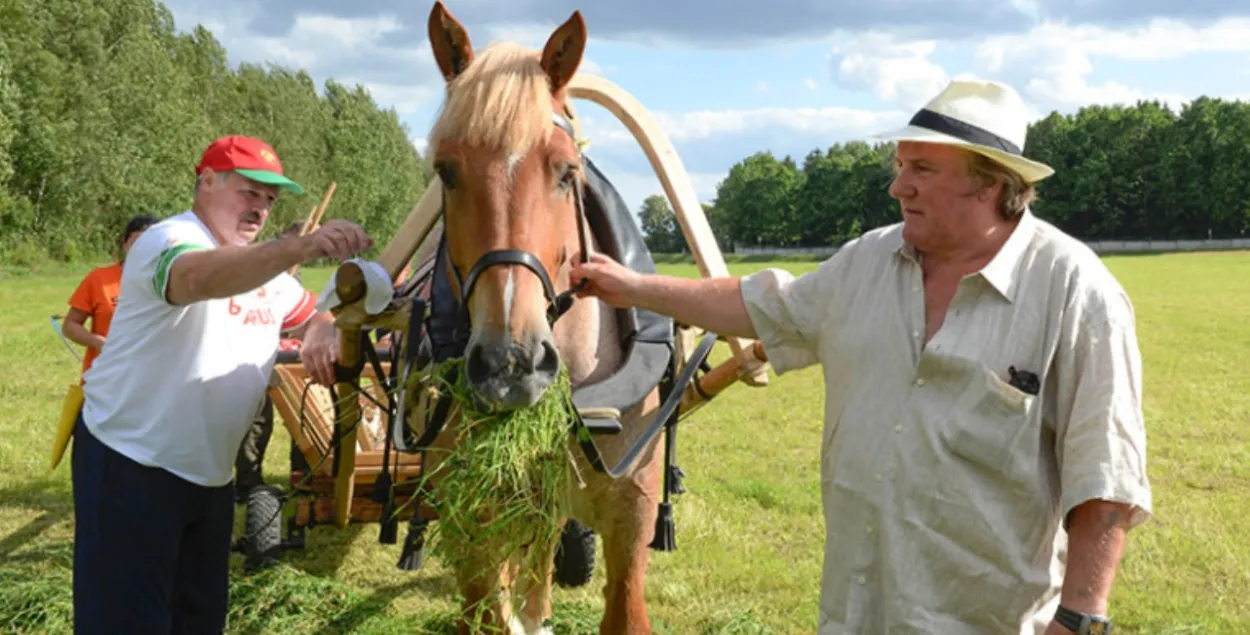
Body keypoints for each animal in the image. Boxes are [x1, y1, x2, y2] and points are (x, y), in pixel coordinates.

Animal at [410, 2, 675, 632]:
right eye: (446, 171)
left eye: (566, 171)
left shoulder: (632, 514)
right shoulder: (473, 517)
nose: (512, 364)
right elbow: (487, 602)